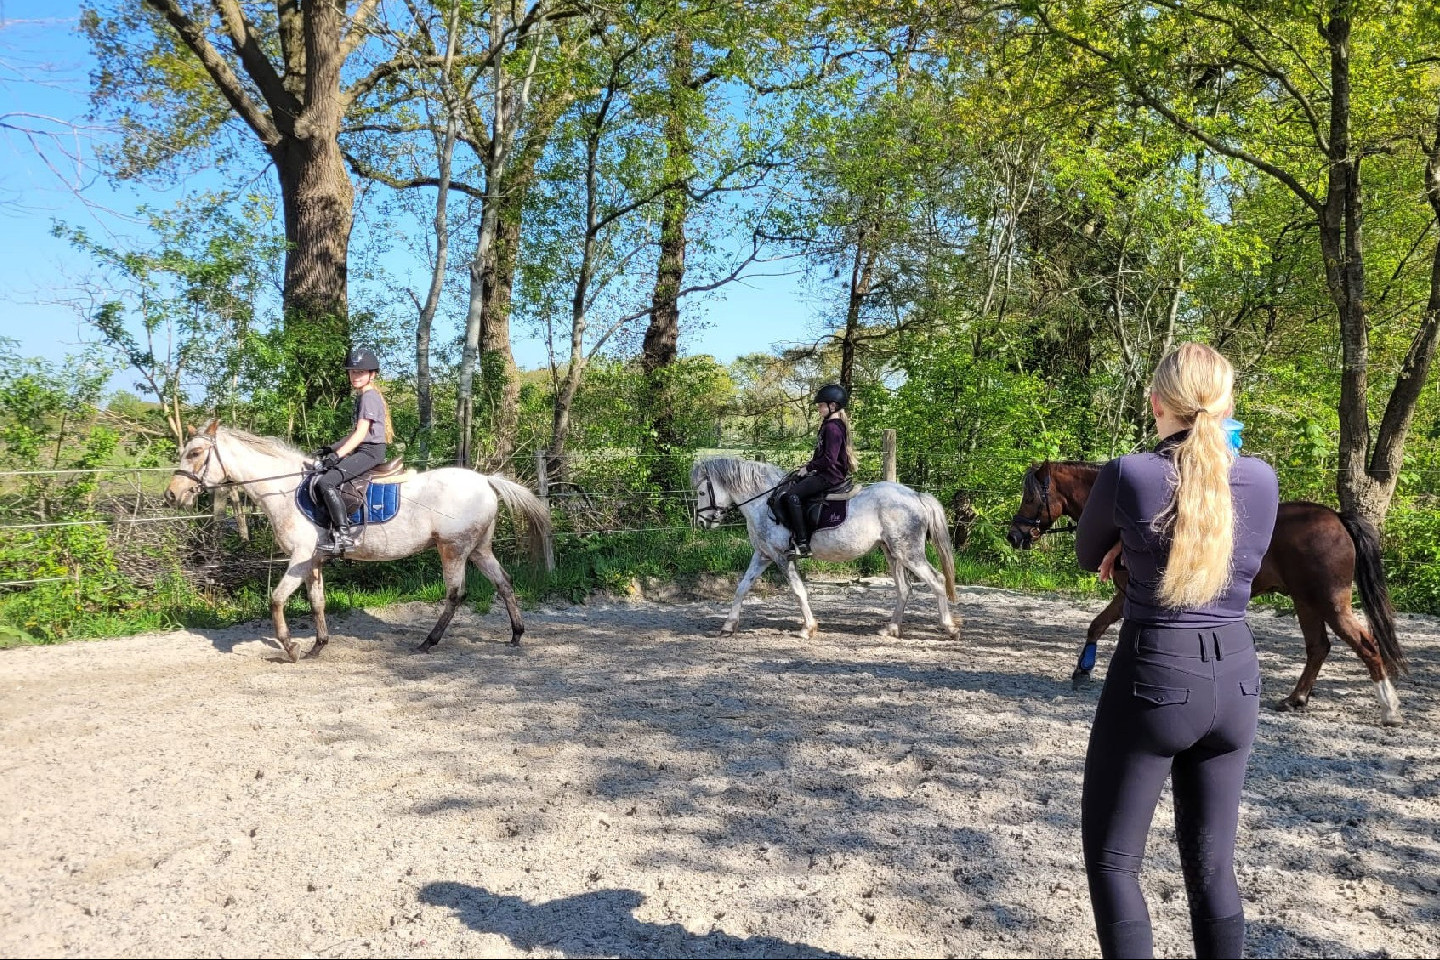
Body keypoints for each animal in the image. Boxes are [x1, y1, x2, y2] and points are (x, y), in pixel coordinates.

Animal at [1013, 460, 1405, 725]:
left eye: (1030, 497)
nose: (1013, 535)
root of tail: (1337, 517)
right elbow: (1096, 625)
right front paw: (1083, 671)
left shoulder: (1132, 596)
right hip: (1305, 601)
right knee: (1318, 647)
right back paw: (1296, 699)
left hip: (1329, 600)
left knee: (1365, 645)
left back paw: (1389, 709)